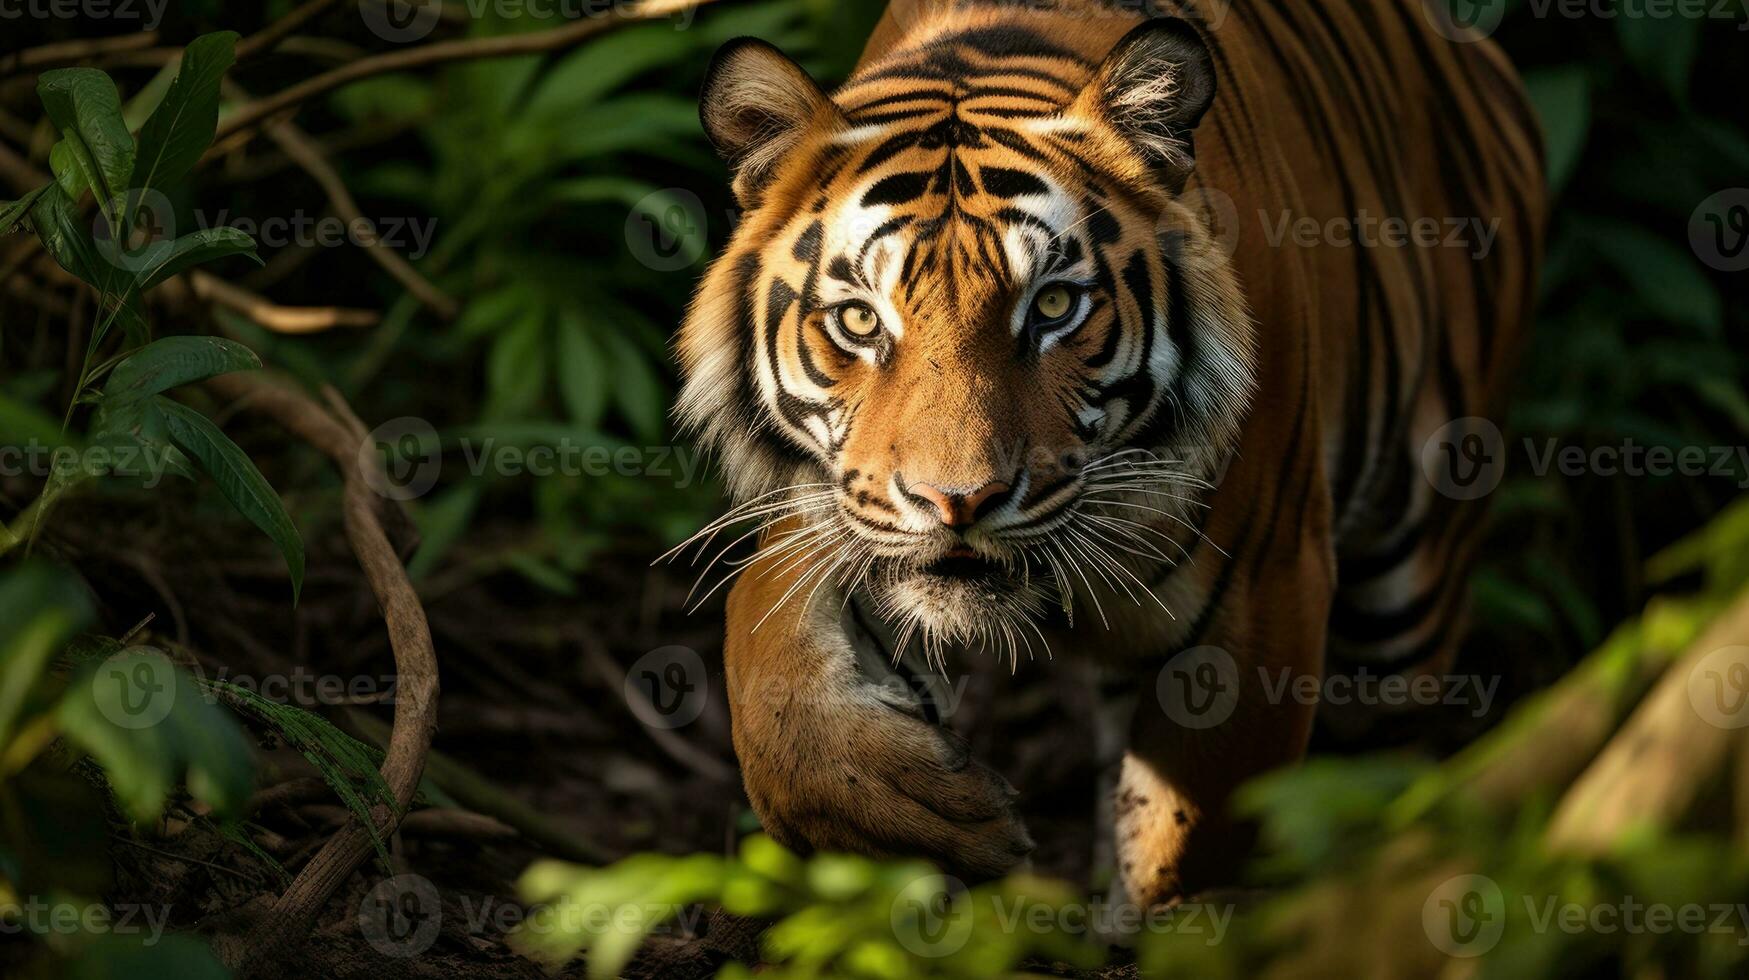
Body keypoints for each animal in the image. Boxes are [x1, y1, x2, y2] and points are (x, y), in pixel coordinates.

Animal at [671, 0, 1546, 910]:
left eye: (1054, 306)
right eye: (858, 320)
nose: (958, 502)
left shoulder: (1265, 593)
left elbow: (1189, 846)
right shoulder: (834, 505)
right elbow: (768, 677)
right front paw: (917, 815)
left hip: (1406, 605)